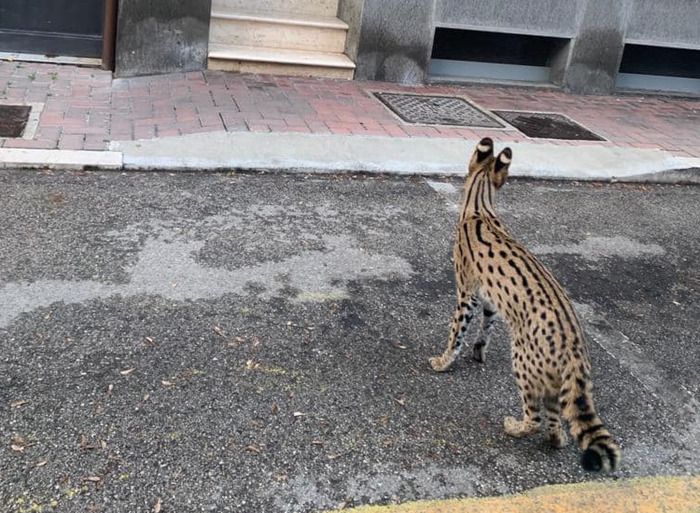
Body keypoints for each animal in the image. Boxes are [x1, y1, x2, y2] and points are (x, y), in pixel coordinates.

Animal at [429, 137, 621, 472]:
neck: (480, 207)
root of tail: (575, 349)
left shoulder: (466, 292)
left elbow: (456, 334)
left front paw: (443, 362)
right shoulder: (489, 300)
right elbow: (485, 328)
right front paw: (478, 352)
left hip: (522, 359)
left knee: (535, 418)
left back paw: (514, 427)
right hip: (551, 380)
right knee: (555, 421)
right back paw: (555, 440)